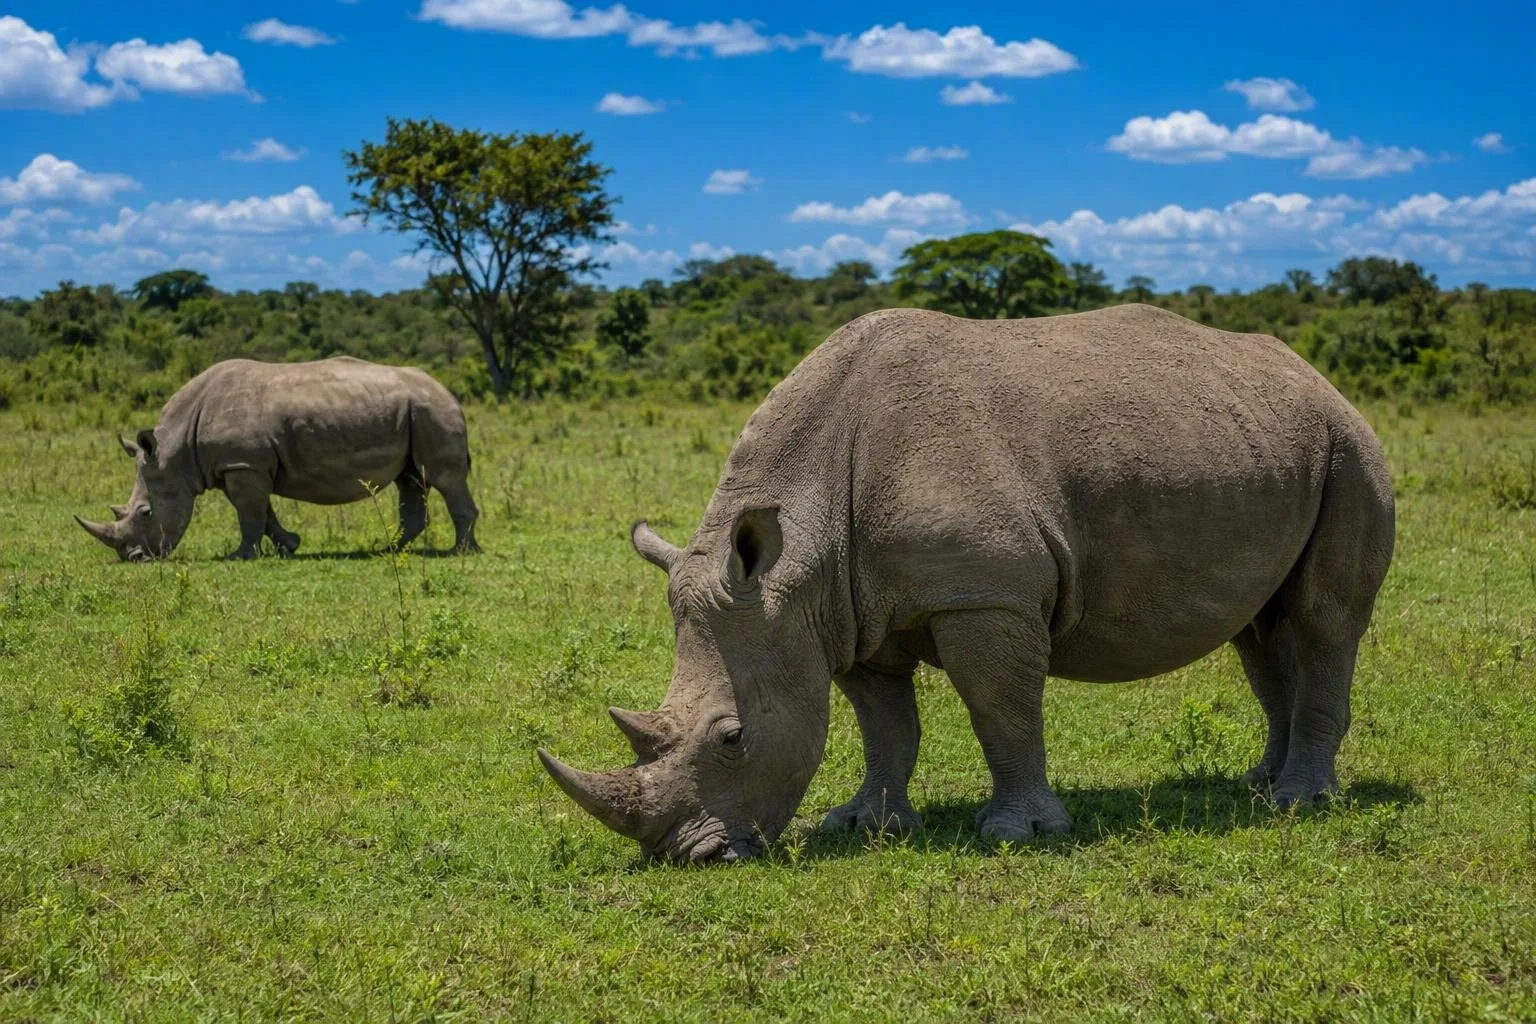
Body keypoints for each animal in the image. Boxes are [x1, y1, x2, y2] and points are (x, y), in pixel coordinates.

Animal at [76, 356, 480, 561]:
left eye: (146, 513)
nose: (133, 558)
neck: (175, 450)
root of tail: (448, 390)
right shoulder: (242, 465)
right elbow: (262, 512)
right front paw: (289, 545)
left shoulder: (243, 465)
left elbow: (250, 513)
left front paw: (241, 556)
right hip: (414, 411)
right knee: (410, 478)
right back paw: (389, 549)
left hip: (431, 410)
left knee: (445, 478)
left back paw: (460, 552)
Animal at [539, 304, 1396, 864]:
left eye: (732, 737)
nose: (691, 855)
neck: (799, 559)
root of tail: (1318, 377)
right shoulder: (844, 612)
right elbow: (886, 724)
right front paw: (866, 826)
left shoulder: (986, 595)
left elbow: (1001, 711)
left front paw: (1018, 834)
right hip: (1265, 442)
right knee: (1260, 628)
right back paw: (1257, 784)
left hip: (1350, 448)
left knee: (1324, 621)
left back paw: (1298, 802)